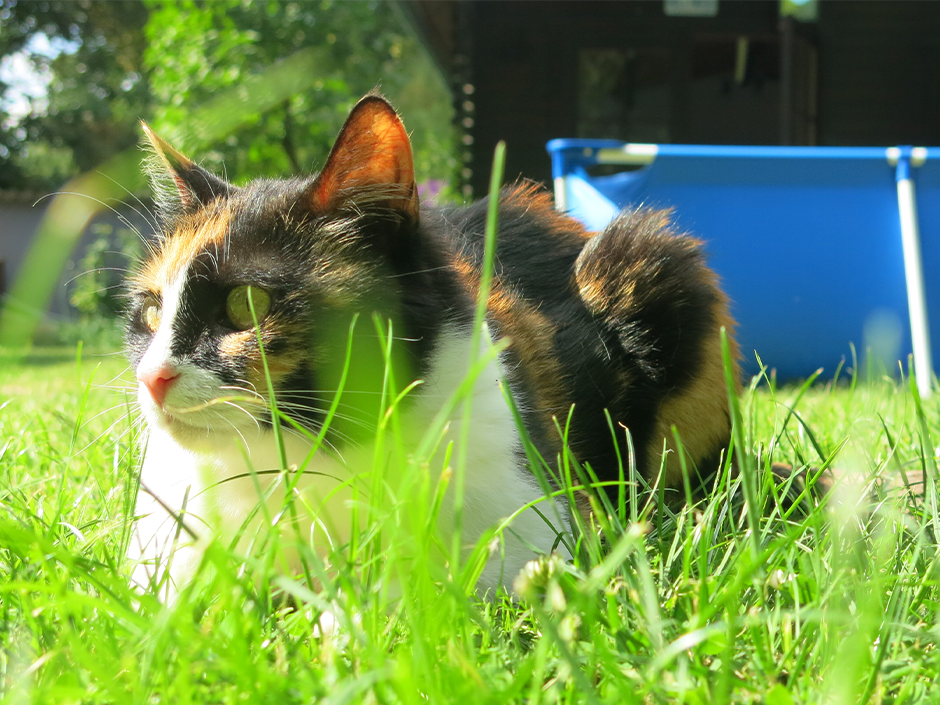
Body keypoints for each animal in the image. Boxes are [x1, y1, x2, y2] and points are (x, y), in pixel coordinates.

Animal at [126, 93, 740, 596]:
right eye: (151, 313)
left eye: (246, 305)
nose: (151, 377)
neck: (302, 464)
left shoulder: (536, 529)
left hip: (653, 260)